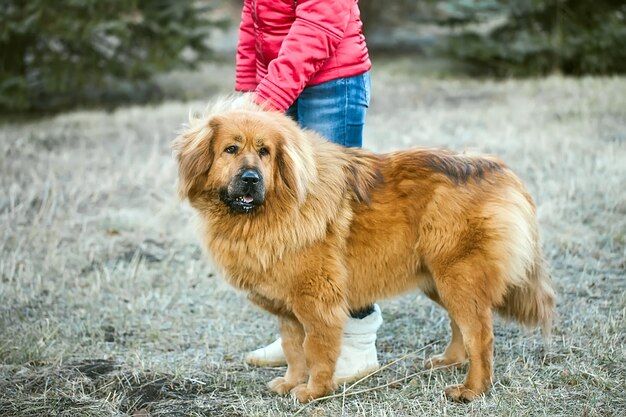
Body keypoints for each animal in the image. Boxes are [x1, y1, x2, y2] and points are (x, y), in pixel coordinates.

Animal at [171, 96, 552, 402]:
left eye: (265, 152)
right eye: (231, 150)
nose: (251, 178)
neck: (272, 211)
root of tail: (502, 171)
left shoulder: (317, 302)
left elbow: (316, 350)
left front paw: (313, 391)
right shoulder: (289, 309)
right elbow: (294, 350)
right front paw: (291, 382)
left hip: (458, 276)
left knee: (481, 335)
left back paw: (473, 389)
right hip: (438, 279)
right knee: (461, 326)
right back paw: (450, 361)